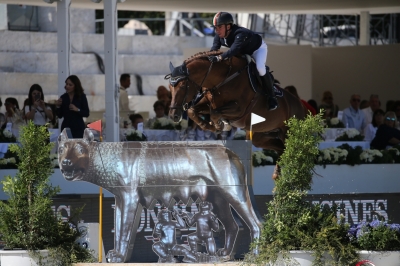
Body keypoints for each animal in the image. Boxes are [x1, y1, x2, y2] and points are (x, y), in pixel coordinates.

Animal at [166, 50, 306, 179]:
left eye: (182, 86)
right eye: (170, 87)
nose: (173, 115)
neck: (222, 79)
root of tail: (300, 105)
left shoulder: (239, 109)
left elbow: (215, 113)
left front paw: (218, 125)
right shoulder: (208, 103)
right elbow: (193, 111)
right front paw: (210, 125)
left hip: (288, 132)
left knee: (289, 149)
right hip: (260, 136)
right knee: (281, 148)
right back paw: (277, 174)